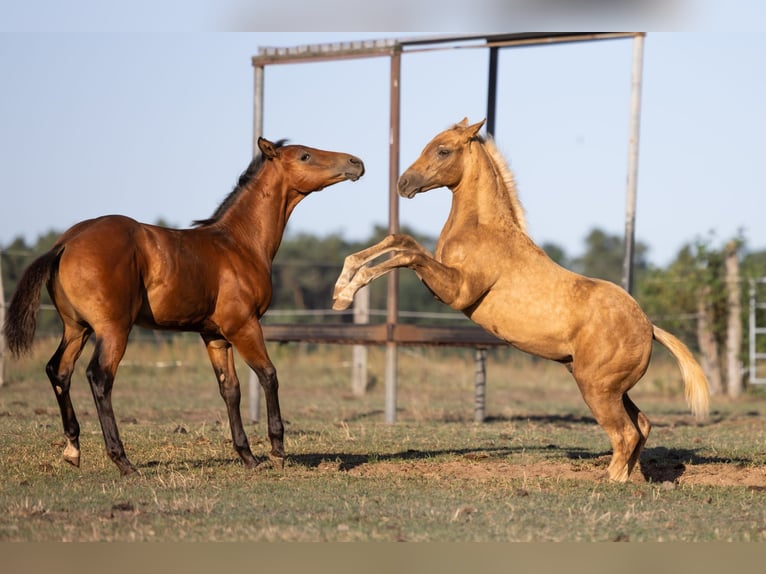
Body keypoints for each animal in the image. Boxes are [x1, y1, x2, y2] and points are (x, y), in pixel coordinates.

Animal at [4, 136, 364, 476]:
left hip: (76, 328)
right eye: (304, 155)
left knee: (58, 370)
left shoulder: (214, 335)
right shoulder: (244, 325)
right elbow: (268, 375)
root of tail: (65, 243)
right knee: (99, 377)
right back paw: (123, 461)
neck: (240, 244)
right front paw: (276, 450)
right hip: (113, 329)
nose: (356, 162)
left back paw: (72, 450)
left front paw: (248, 456)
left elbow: (230, 389)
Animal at [333, 118, 708, 482]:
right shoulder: (439, 285)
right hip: (613, 388)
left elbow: (407, 252)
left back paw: (610, 482)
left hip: (597, 388)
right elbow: (400, 242)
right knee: (642, 426)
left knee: (625, 434)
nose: (404, 183)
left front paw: (345, 294)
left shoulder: (456, 292)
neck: (484, 230)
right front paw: (342, 284)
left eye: (443, 150)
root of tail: (648, 326)